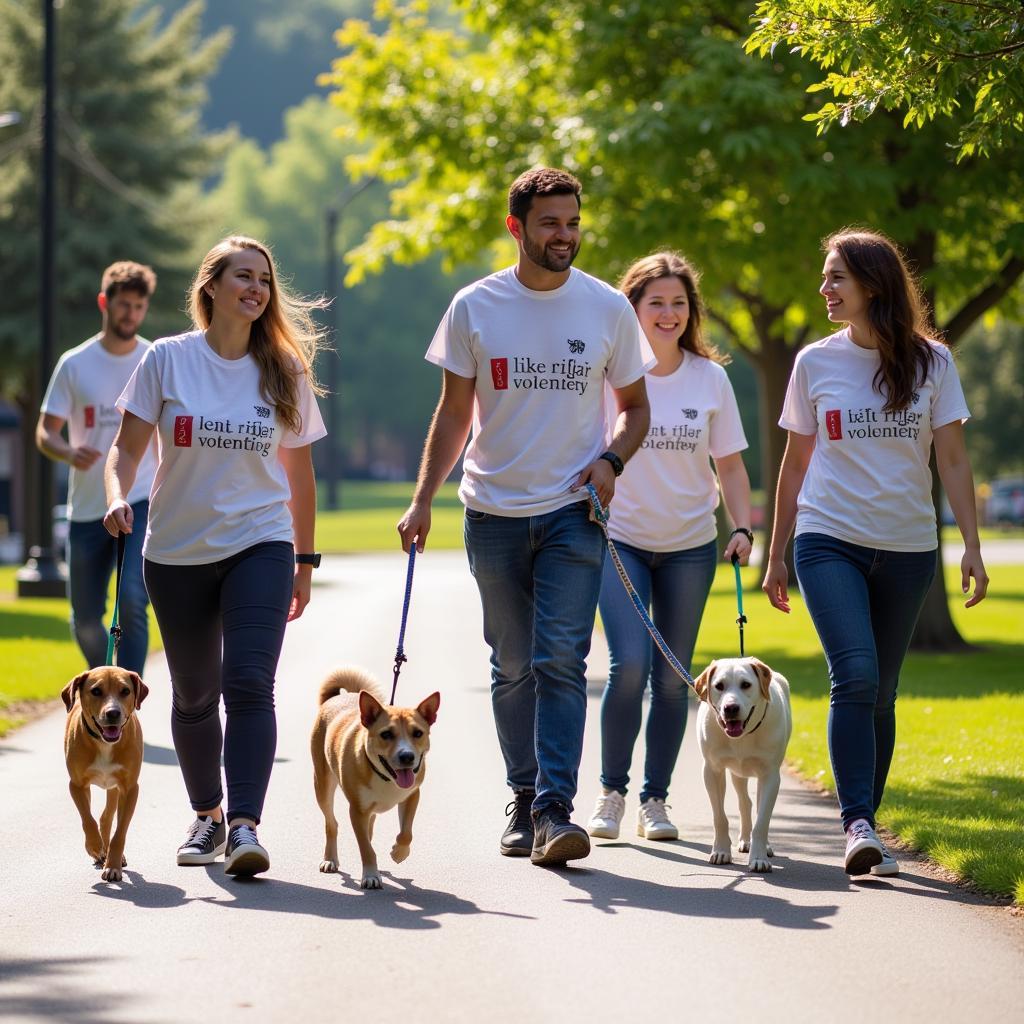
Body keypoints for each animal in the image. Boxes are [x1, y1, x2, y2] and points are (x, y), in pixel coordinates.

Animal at [61, 663, 148, 880]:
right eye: (96, 691)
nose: (113, 713)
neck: (103, 743)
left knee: (107, 818)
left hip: (114, 787)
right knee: (99, 818)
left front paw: (113, 864)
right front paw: (93, 846)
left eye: (125, 691)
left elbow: (120, 831)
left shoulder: (129, 788)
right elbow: (87, 819)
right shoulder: (76, 785)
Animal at [311, 663, 440, 888]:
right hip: (322, 785)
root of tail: (335, 698)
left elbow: (406, 833)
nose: (407, 756)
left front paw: (399, 852)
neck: (384, 775)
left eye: (418, 733)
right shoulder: (357, 811)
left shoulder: (412, 796)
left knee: (369, 828)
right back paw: (330, 859)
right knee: (332, 823)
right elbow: (365, 848)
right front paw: (371, 874)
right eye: (386, 734)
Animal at [696, 655, 790, 872]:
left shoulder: (771, 775)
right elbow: (719, 817)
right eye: (719, 686)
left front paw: (759, 857)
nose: (730, 708)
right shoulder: (712, 771)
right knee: (744, 802)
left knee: (757, 806)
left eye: (746, 684)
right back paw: (745, 840)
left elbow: (762, 821)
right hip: (737, 773)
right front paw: (721, 850)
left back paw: (763, 845)